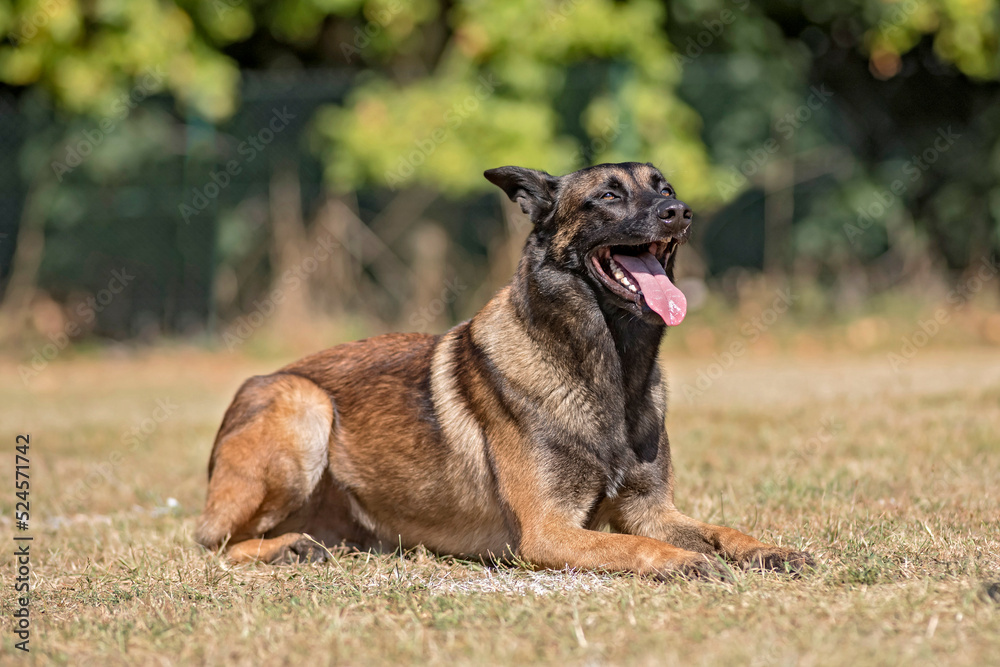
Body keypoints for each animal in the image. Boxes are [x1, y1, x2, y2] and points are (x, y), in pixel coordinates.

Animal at [195, 163, 812, 580]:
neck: (607, 369)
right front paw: (681, 561)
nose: (679, 212)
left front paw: (767, 548)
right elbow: (637, 547)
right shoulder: (549, 531)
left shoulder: (650, 511)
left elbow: (721, 529)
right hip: (305, 406)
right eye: (609, 196)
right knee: (211, 541)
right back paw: (287, 547)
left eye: (665, 189)